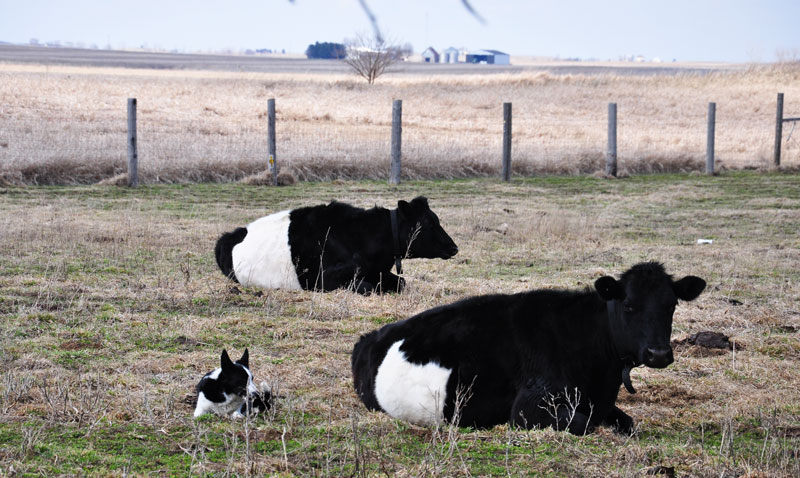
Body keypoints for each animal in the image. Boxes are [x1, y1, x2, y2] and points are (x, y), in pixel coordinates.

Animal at [215, 197, 458, 295]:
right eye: (429, 223)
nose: (454, 247)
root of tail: (233, 234)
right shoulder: (322, 279)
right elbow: (366, 288)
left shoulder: (377, 271)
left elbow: (401, 282)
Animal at [351, 262, 706, 435]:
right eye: (629, 305)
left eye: (672, 305)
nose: (658, 354)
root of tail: (373, 335)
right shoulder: (529, 407)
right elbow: (583, 423)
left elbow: (628, 424)